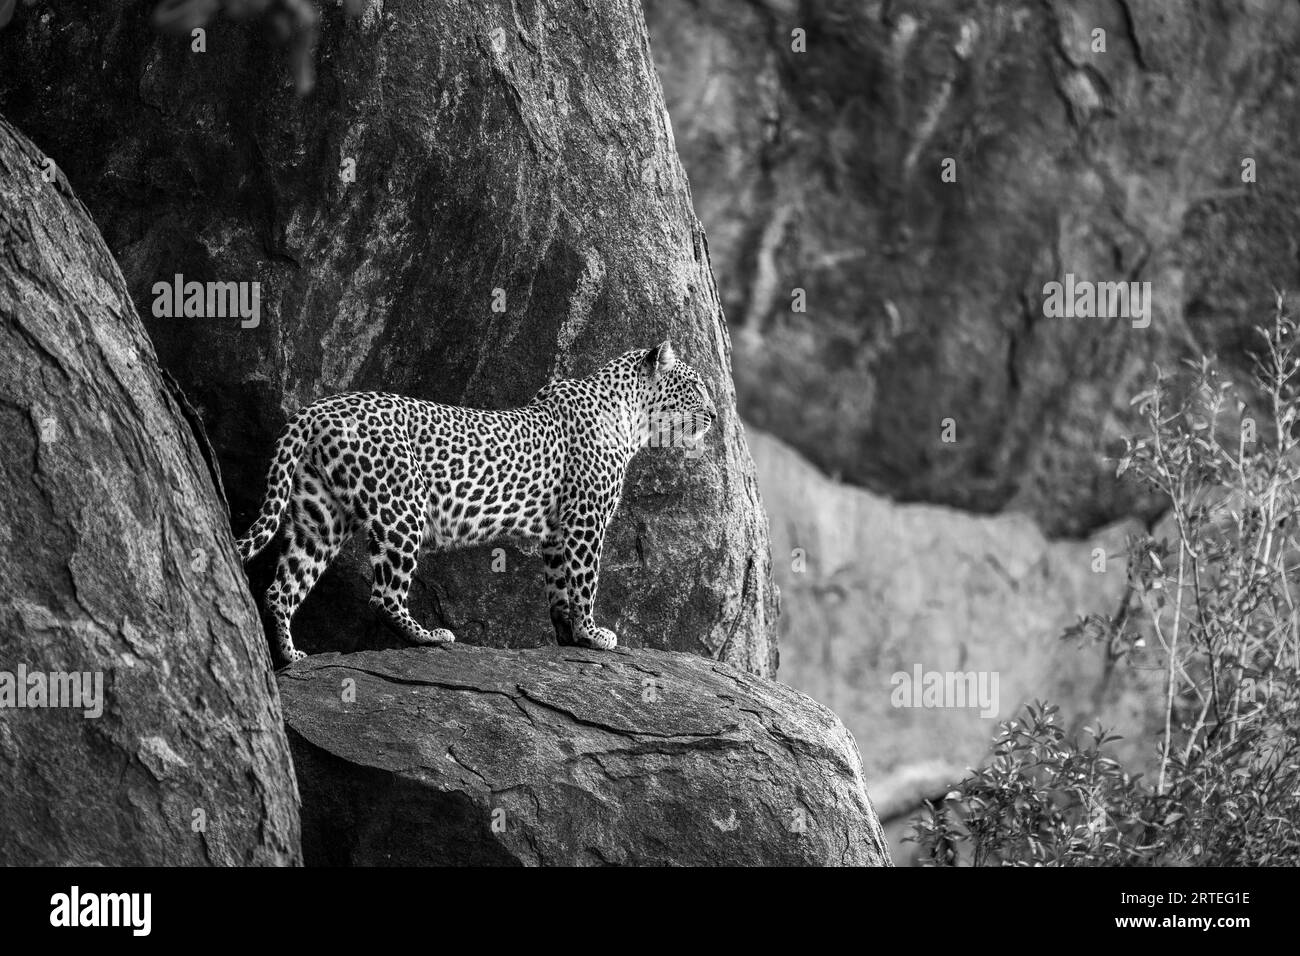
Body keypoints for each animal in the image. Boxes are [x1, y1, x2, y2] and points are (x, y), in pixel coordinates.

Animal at [236, 343, 722, 665]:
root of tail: (317, 408)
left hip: (321, 515)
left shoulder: (556, 531)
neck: (633, 419)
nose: (715, 416)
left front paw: (568, 636)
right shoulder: (585, 519)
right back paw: (430, 637)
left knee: (282, 588)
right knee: (383, 594)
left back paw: (291, 657)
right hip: (401, 507)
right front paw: (591, 633)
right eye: (695, 386)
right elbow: (585, 580)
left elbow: (559, 586)